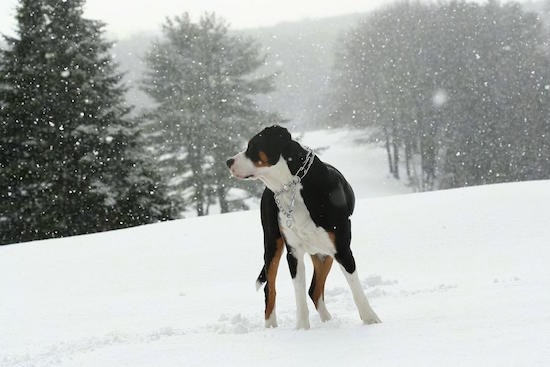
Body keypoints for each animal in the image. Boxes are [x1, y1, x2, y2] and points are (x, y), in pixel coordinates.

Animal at [226, 126, 382, 330]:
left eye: (252, 146)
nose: (228, 161)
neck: (292, 187)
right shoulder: (294, 252)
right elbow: (299, 295)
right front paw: (301, 329)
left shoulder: (341, 248)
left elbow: (356, 288)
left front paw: (371, 320)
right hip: (272, 243)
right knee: (271, 288)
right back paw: (270, 327)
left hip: (323, 254)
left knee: (314, 290)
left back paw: (328, 321)